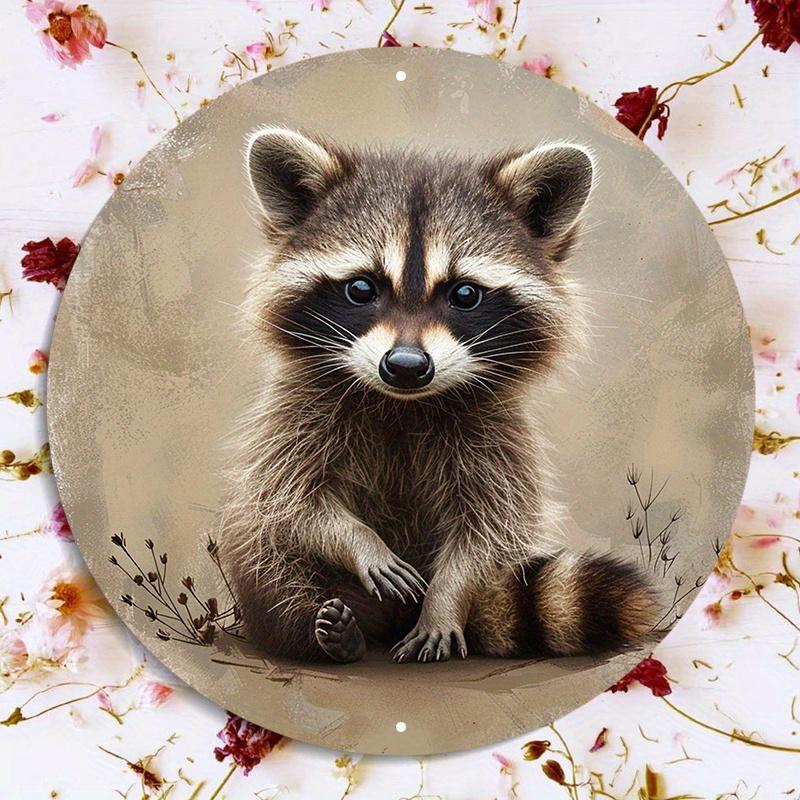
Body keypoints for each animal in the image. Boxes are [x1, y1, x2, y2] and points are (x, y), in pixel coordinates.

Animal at [218, 127, 657, 664]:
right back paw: (320, 631)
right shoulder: (300, 413)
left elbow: (490, 527)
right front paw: (360, 541)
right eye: (361, 288)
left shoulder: (497, 433)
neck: (404, 405)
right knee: (264, 553)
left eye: (464, 294)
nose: (406, 367)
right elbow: (290, 501)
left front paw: (446, 601)